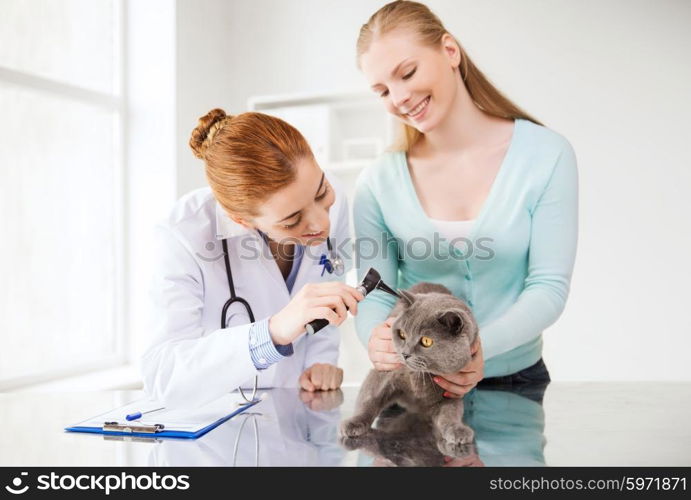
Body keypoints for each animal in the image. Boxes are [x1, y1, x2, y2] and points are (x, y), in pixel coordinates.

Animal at [342, 284, 482, 456]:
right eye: (402, 334)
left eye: (426, 341)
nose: (405, 353)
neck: (417, 377)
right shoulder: (383, 370)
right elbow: (369, 397)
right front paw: (354, 423)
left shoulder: (451, 390)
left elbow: (451, 412)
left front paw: (458, 431)